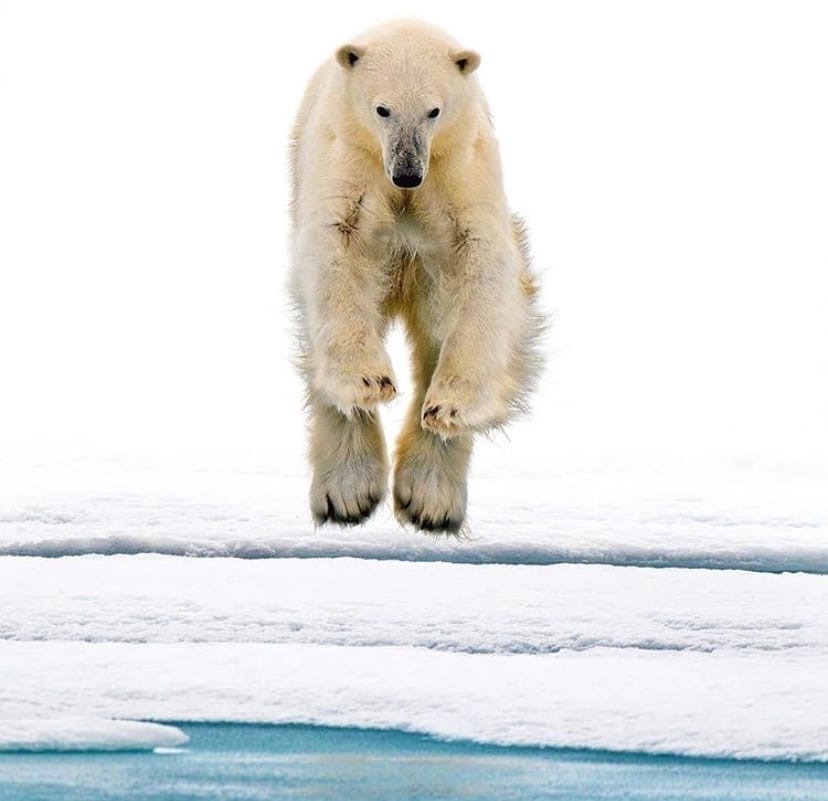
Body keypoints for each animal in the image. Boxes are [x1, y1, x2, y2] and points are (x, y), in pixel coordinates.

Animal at [292, 18, 544, 536]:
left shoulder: (460, 165)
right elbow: (335, 248)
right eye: (382, 109)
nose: (407, 174)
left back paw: (430, 498)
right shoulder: (345, 159)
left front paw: (451, 406)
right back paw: (347, 493)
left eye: (433, 110)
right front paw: (369, 381)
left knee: (436, 331)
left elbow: (481, 260)